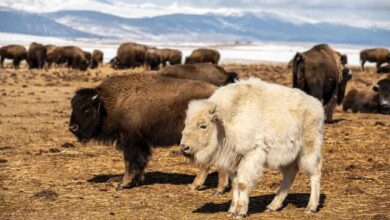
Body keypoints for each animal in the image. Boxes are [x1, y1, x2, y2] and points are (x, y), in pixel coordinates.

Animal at [68, 73, 230, 192]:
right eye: (73, 106)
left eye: (87, 109)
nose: (72, 127)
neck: (110, 103)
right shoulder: (141, 143)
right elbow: (140, 162)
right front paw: (134, 181)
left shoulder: (130, 141)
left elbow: (130, 162)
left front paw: (124, 183)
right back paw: (220, 187)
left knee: (206, 163)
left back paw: (195, 185)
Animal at [181, 77, 324, 217]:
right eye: (186, 123)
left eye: (203, 125)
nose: (184, 147)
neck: (226, 120)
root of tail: (316, 105)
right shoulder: (234, 161)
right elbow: (235, 184)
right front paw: (231, 211)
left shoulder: (250, 155)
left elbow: (243, 184)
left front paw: (240, 212)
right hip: (287, 157)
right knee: (289, 175)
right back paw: (272, 206)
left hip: (309, 149)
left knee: (315, 172)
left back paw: (311, 207)